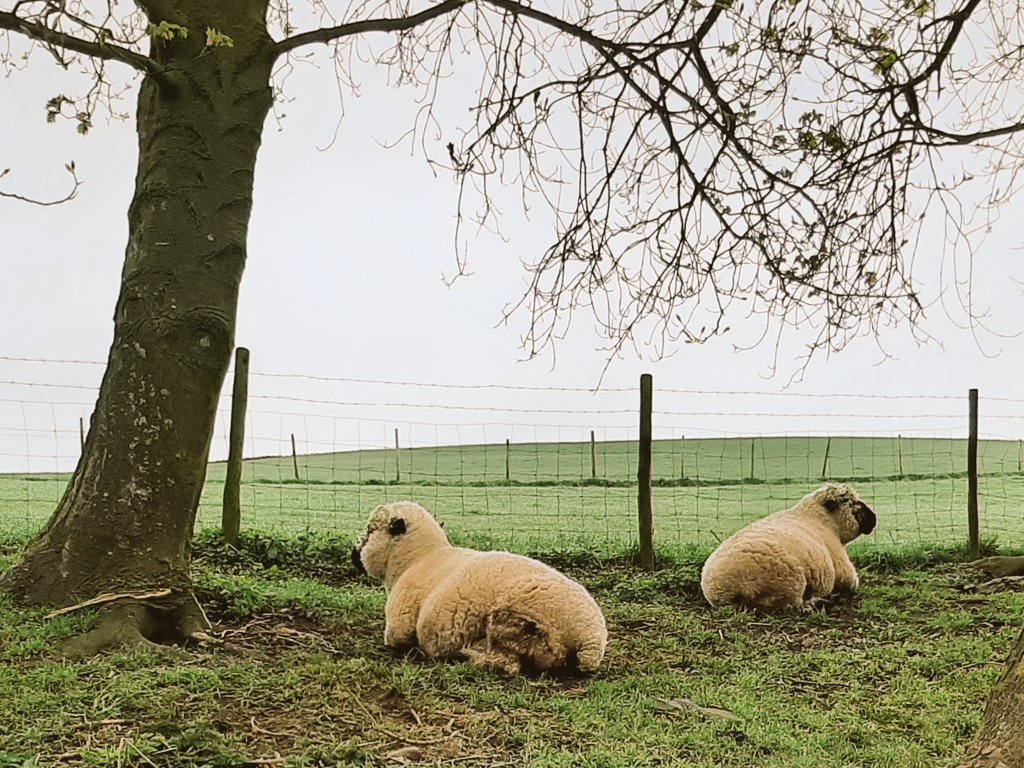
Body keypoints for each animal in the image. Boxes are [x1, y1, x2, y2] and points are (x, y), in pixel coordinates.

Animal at [352, 500, 608, 675]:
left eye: (370, 530)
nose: (354, 556)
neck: (417, 559)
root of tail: (589, 639)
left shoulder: (399, 625)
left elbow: (397, 640)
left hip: (514, 623)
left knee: (508, 664)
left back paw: (464, 655)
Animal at [699, 483, 877, 612]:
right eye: (850, 502)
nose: (874, 519)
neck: (821, 519)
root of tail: (726, 589)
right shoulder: (842, 567)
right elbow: (852, 583)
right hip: (789, 583)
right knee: (793, 604)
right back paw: (819, 601)